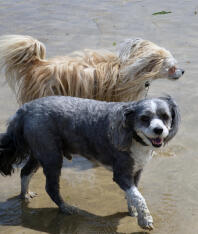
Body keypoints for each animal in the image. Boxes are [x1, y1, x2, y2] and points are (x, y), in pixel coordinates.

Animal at [0, 95, 179, 230]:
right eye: (144, 118)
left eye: (165, 117)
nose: (158, 130)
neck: (132, 134)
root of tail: (25, 109)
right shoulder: (121, 174)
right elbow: (139, 197)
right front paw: (145, 220)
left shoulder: (136, 171)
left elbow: (133, 195)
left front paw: (133, 212)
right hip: (52, 156)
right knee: (50, 187)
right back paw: (65, 207)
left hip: (40, 153)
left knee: (25, 172)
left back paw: (24, 194)